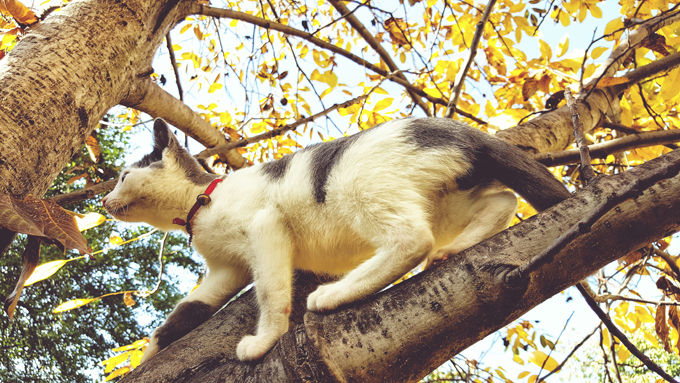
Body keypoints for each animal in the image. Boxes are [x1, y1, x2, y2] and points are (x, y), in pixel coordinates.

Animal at [99, 117, 568, 364]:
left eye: (122, 176)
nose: (103, 200)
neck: (202, 204)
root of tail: (464, 130)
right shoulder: (225, 270)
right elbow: (187, 309)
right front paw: (150, 352)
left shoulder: (266, 227)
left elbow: (271, 292)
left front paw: (264, 341)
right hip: (447, 202)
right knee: (503, 201)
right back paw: (452, 249)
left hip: (356, 186)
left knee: (411, 239)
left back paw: (333, 294)